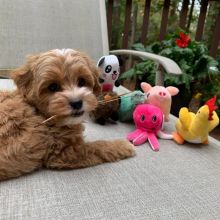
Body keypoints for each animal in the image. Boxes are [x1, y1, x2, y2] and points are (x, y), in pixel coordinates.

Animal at [0, 49, 135, 180]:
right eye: (53, 87)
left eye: (81, 81)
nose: (77, 103)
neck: (39, 113)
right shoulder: (63, 153)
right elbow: (97, 147)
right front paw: (123, 146)